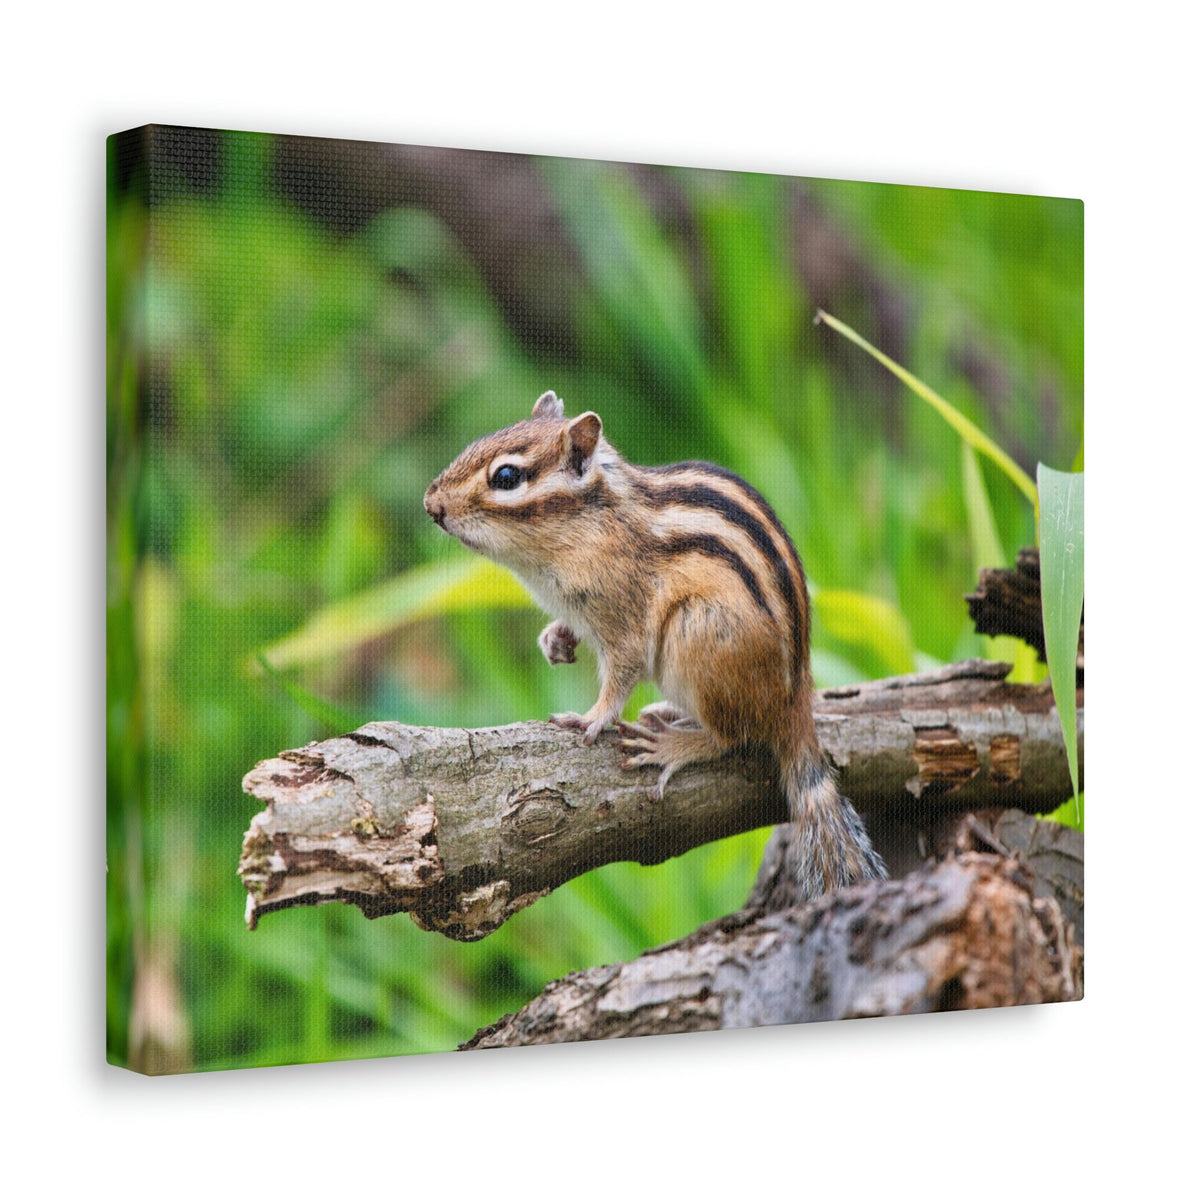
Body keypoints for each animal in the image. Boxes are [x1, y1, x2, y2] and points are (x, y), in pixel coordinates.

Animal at [424, 390, 887, 901]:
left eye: (506, 477)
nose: (431, 504)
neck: (588, 524)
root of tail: (795, 702)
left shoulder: (625, 618)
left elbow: (621, 674)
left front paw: (592, 717)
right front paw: (555, 640)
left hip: (697, 632)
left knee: (732, 737)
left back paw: (673, 745)